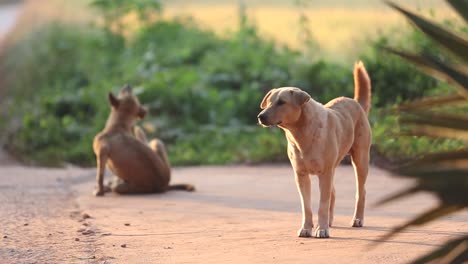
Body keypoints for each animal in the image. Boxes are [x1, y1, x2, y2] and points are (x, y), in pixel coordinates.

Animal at [258, 61, 372, 237]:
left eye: (281, 102)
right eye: (269, 102)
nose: (260, 116)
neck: (301, 134)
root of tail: (355, 102)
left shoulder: (324, 173)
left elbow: (322, 205)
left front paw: (322, 229)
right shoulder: (301, 175)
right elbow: (306, 206)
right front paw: (307, 228)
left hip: (360, 160)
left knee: (361, 192)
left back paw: (357, 219)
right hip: (333, 168)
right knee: (333, 192)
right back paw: (330, 221)